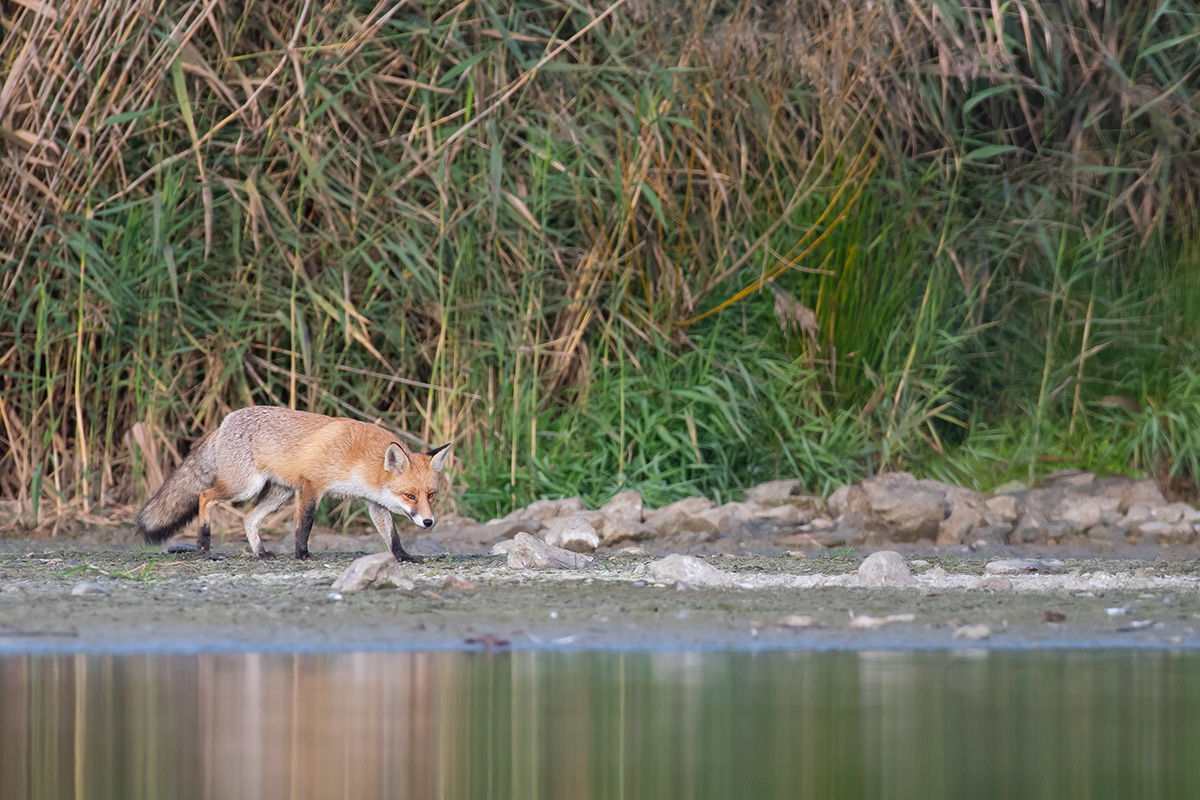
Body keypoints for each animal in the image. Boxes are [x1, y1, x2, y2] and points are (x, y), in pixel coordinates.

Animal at [136, 410, 451, 561]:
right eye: (409, 495)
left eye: (431, 495)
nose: (429, 522)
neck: (358, 457)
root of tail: (224, 422)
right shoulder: (314, 484)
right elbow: (305, 525)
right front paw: (302, 554)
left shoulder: (374, 502)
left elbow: (392, 536)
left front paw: (404, 557)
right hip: (244, 487)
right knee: (205, 496)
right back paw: (203, 543)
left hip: (279, 493)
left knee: (249, 519)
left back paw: (260, 553)